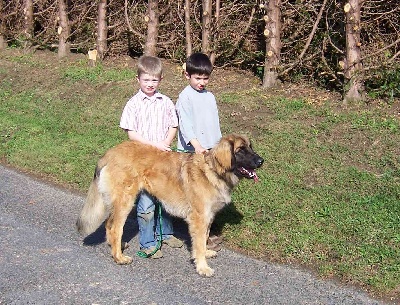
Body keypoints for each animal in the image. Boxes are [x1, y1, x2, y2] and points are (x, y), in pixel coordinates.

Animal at [75, 133, 264, 276]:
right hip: (125, 201)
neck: (212, 170)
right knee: (115, 227)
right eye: (240, 150)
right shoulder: (199, 218)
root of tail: (110, 153)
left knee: (109, 224)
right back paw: (119, 257)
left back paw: (116, 247)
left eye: (250, 147)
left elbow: (204, 240)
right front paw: (202, 267)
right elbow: (199, 243)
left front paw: (206, 253)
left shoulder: (208, 216)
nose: (261, 161)